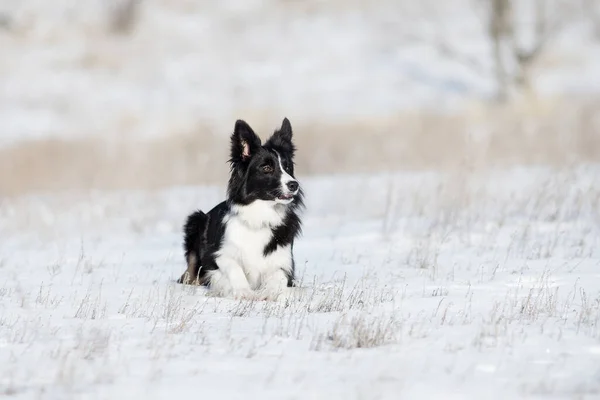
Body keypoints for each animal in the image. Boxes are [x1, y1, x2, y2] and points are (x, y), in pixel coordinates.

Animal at [176, 119, 302, 300]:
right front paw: (244, 292)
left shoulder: (284, 262)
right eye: (267, 168)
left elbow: (278, 277)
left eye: (287, 167)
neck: (260, 214)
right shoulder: (216, 255)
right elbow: (233, 267)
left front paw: (269, 293)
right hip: (195, 220)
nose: (294, 184)